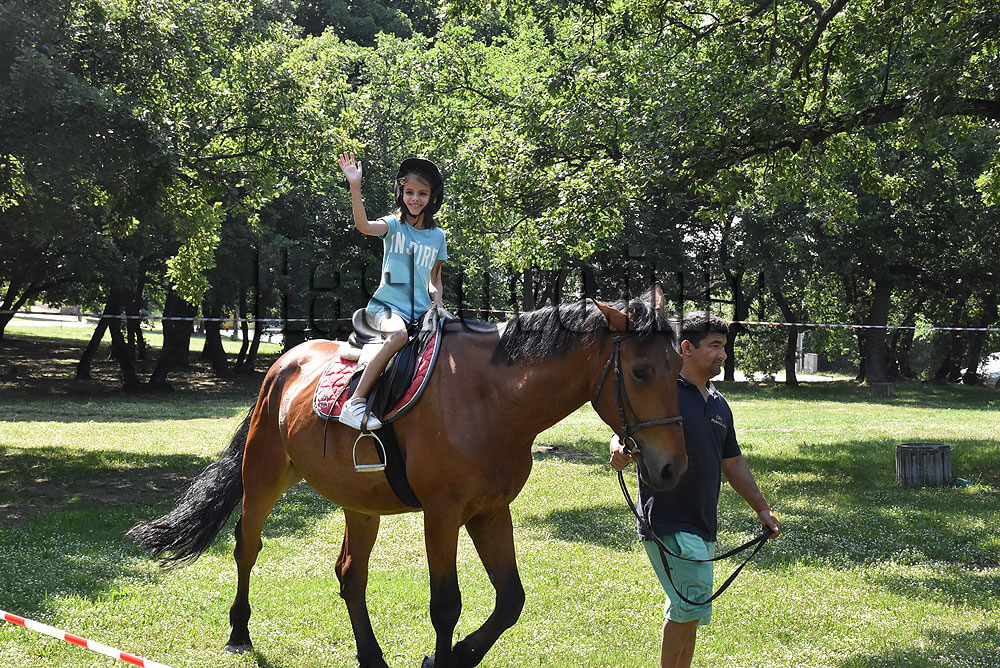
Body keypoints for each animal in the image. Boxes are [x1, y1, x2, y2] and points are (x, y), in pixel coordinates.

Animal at [127, 285, 686, 668]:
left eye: (679, 367)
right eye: (640, 372)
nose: (672, 466)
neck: (492, 399)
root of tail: (284, 362)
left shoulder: (489, 511)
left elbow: (510, 600)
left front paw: (455, 656)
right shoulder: (441, 515)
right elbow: (446, 605)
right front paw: (441, 656)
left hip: (359, 503)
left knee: (350, 574)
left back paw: (371, 656)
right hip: (263, 476)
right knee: (247, 547)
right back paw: (238, 632)